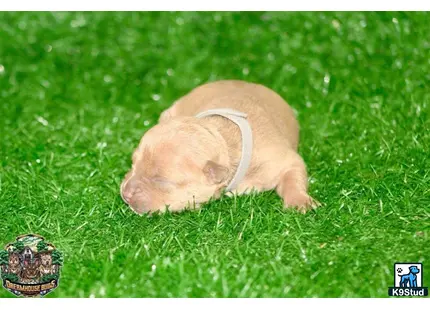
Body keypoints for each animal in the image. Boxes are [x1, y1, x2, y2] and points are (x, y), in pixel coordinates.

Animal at [121, 80, 320, 213]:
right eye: (133, 163)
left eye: (161, 180)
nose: (126, 193)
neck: (222, 138)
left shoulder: (280, 160)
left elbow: (293, 175)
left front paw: (300, 202)